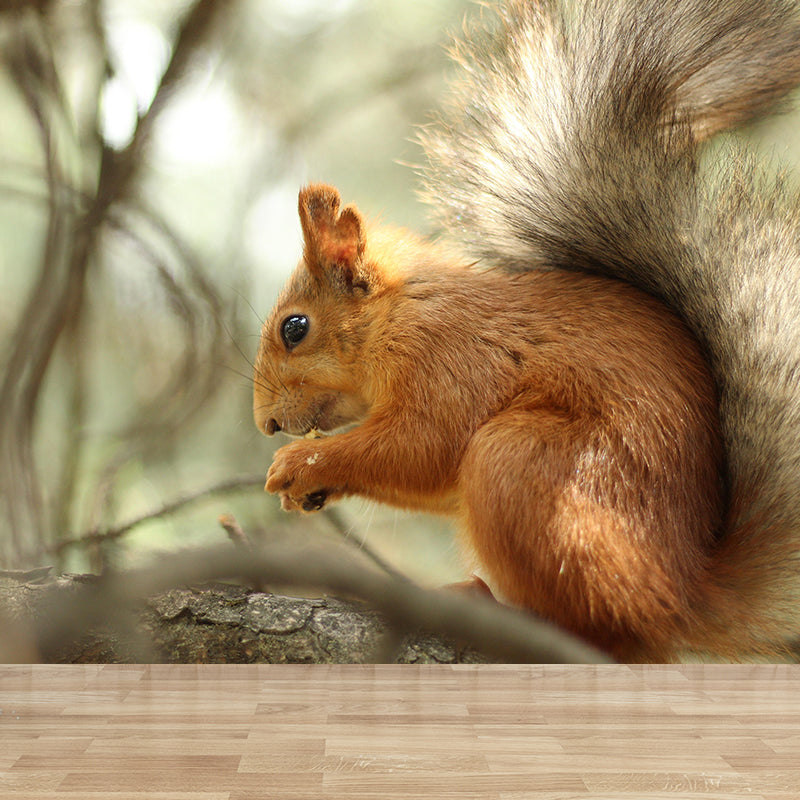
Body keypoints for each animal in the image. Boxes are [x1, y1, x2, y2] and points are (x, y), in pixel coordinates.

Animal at [253, 0, 800, 662]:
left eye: (295, 328)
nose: (265, 423)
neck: (397, 314)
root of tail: (681, 597)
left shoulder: (450, 358)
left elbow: (422, 445)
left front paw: (302, 462)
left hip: (523, 463)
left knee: (596, 627)